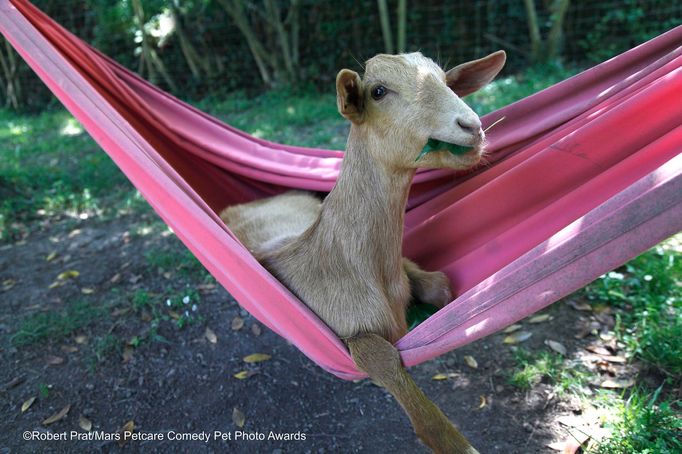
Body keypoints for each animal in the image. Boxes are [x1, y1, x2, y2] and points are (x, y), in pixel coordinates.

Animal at [220, 49, 502, 454]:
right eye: (378, 91)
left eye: (445, 79)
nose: (471, 126)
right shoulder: (345, 329)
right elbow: (380, 358)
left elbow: (439, 284)